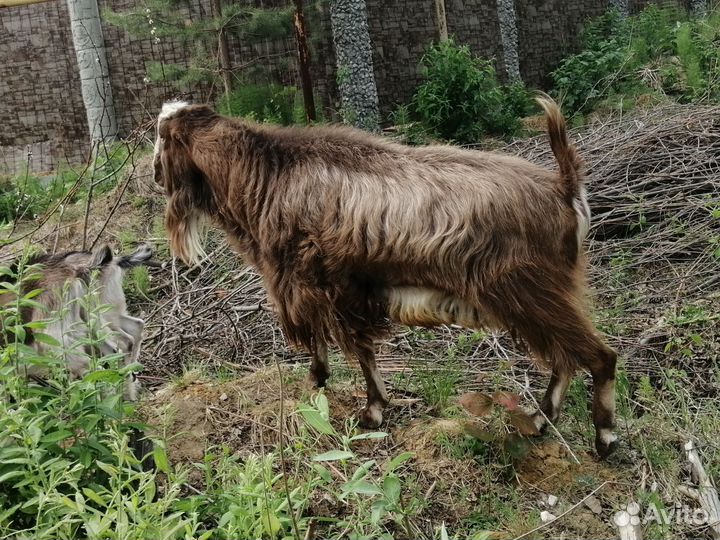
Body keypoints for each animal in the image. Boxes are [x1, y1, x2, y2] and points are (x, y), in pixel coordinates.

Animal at [153, 98, 619, 458]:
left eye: (162, 136)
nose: (155, 174)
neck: (268, 174)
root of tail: (565, 188)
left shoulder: (325, 285)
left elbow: (352, 348)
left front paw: (369, 408)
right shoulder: (328, 288)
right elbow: (335, 342)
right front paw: (327, 385)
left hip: (530, 291)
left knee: (597, 356)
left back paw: (604, 437)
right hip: (547, 295)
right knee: (565, 357)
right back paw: (540, 420)